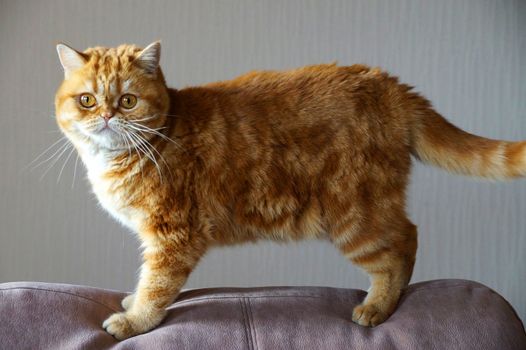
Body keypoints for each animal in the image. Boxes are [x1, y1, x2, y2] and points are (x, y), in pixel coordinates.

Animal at [54, 41, 526, 340]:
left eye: (128, 101)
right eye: (87, 100)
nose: (107, 117)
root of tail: (386, 84)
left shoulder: (173, 235)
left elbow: (157, 286)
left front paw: (134, 321)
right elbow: (146, 280)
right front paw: (132, 302)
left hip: (355, 218)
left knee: (402, 245)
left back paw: (377, 307)